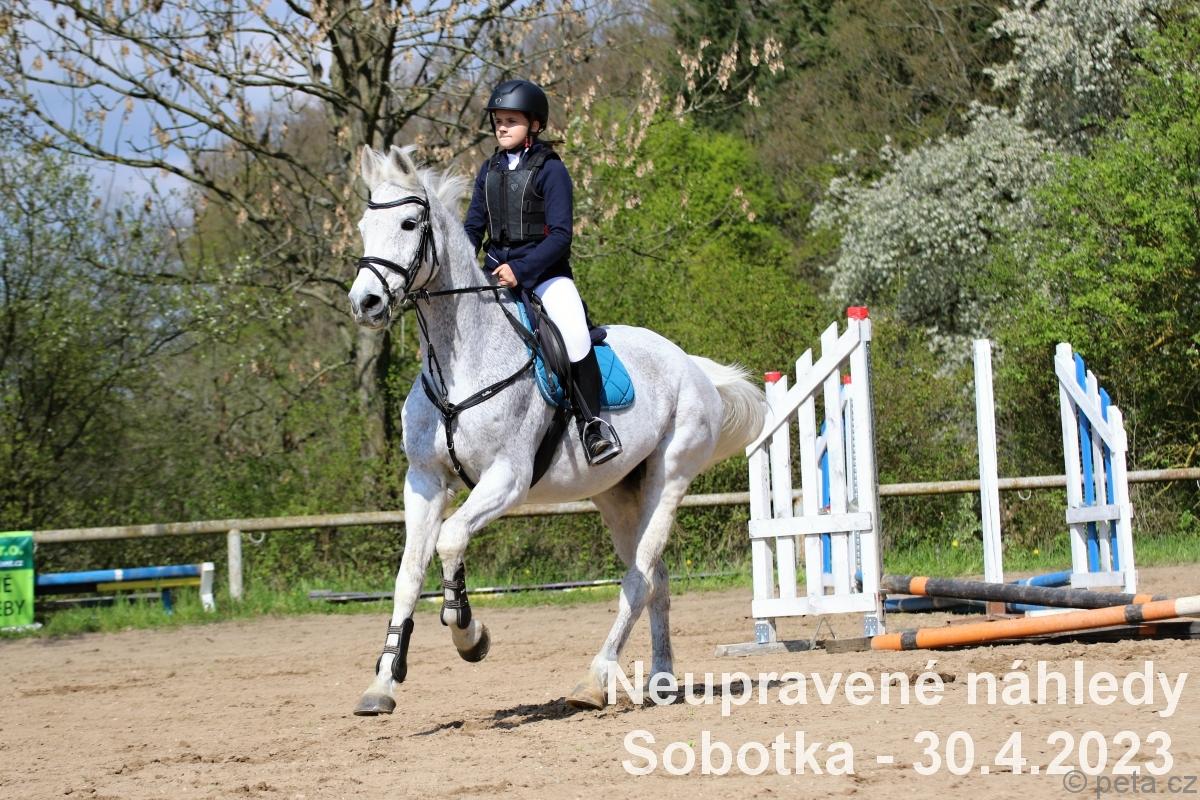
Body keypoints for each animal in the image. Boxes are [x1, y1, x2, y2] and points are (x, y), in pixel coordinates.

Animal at [346, 145, 766, 715]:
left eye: (410, 224)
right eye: (364, 226)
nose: (365, 304)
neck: (459, 360)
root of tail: (691, 364)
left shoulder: (507, 478)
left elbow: (451, 540)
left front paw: (469, 633)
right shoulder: (425, 481)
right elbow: (409, 573)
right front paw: (383, 682)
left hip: (670, 477)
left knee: (639, 577)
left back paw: (595, 679)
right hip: (617, 493)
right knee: (656, 579)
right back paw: (660, 680)